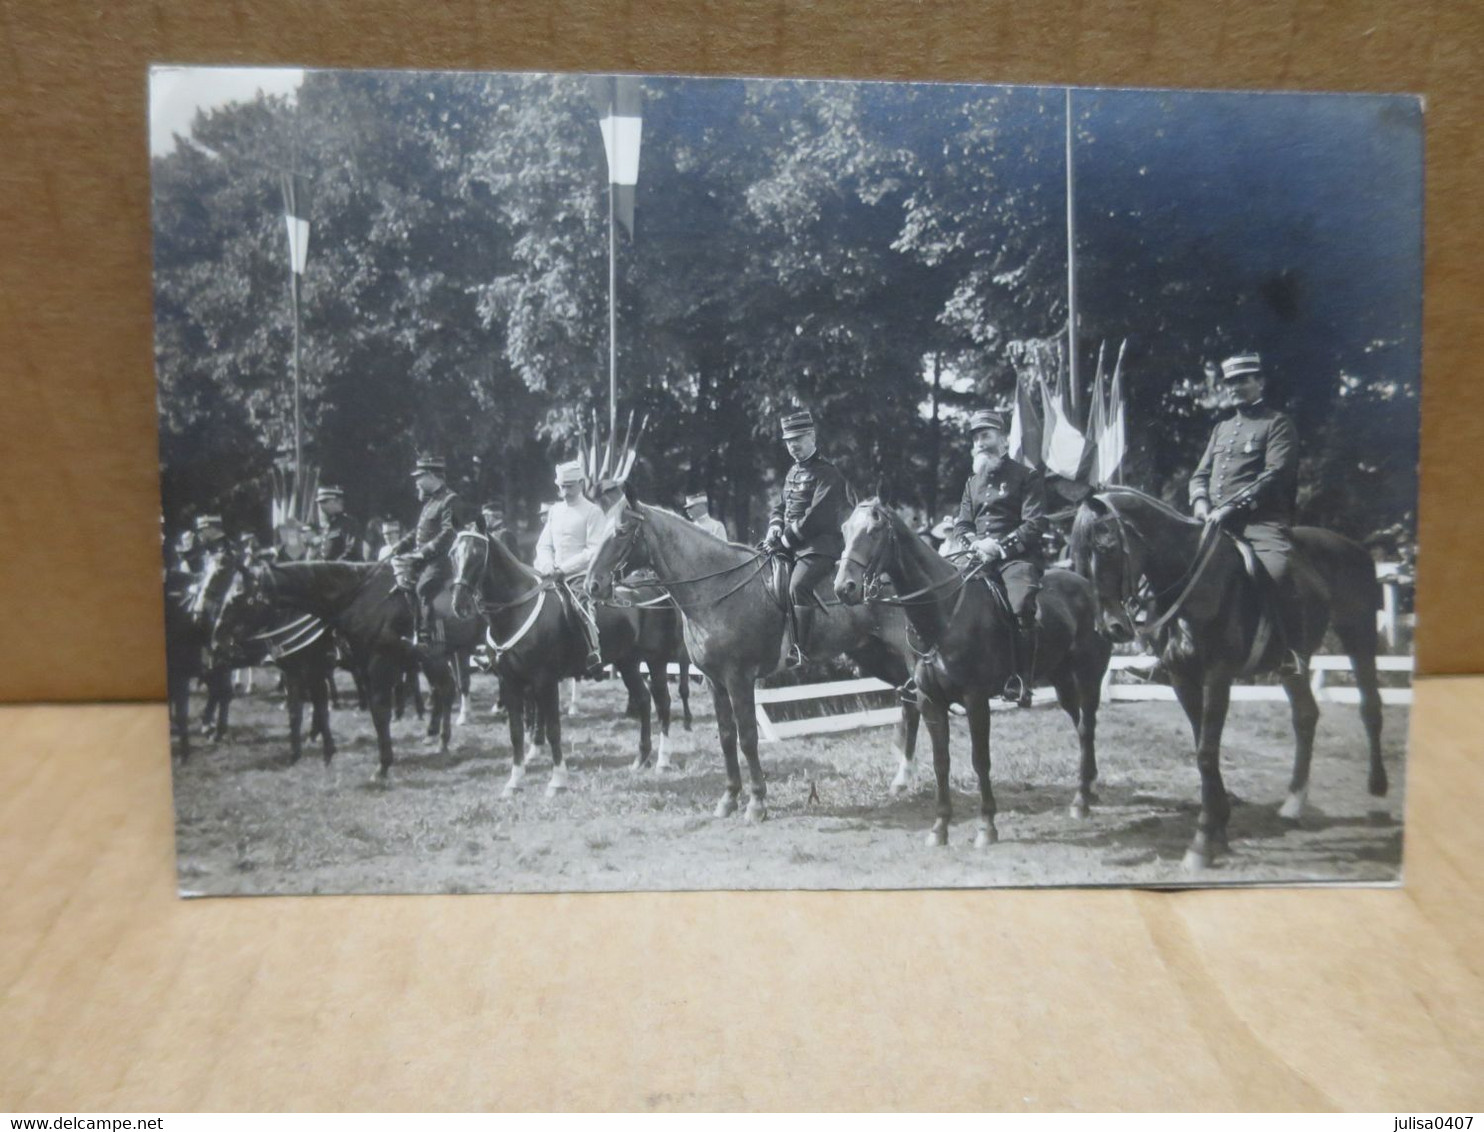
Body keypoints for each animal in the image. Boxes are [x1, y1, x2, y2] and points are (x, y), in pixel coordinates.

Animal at [581, 504, 914, 824]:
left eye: (622, 531)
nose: (592, 585)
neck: (718, 586)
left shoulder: (739, 679)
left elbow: (748, 738)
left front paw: (756, 803)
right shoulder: (715, 682)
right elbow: (727, 738)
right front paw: (729, 799)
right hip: (875, 655)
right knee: (909, 700)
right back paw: (902, 778)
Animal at [836, 501, 1115, 848]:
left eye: (873, 531)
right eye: (844, 530)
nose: (843, 588)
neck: (943, 613)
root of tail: (1087, 586)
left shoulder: (976, 699)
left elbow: (980, 759)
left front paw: (986, 826)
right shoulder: (930, 702)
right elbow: (941, 762)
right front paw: (939, 828)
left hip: (1089, 676)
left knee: (1087, 728)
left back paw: (1081, 800)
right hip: (1063, 681)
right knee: (1079, 727)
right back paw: (1089, 788)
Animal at [1068, 483, 1389, 872]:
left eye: (1107, 547)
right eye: (1078, 556)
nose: (1110, 628)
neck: (1192, 582)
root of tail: (1355, 547)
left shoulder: (1218, 675)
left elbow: (1207, 752)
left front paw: (1203, 841)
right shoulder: (1182, 678)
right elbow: (1201, 746)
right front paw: (1219, 828)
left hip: (1359, 634)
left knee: (1370, 706)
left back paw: (1378, 789)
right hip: (1292, 665)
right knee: (1305, 716)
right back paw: (1293, 803)